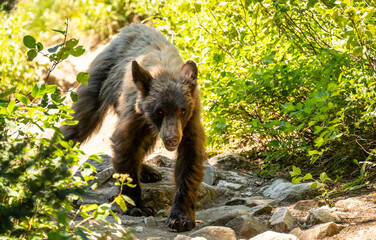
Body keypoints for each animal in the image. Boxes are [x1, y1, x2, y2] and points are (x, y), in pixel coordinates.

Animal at [63, 23, 207, 231]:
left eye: (182, 110)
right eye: (159, 110)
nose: (172, 139)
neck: (164, 70)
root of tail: (129, 28)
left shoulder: (190, 119)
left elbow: (189, 157)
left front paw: (181, 218)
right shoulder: (135, 112)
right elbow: (126, 145)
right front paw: (136, 207)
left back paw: (149, 172)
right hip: (101, 78)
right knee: (80, 121)